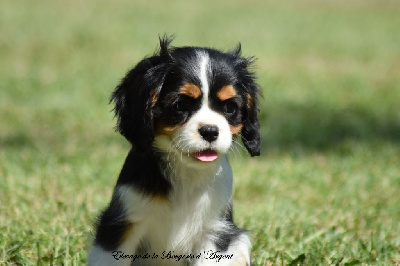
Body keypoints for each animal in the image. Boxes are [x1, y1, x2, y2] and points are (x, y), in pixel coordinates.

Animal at [89, 35, 260, 266]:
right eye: (180, 106)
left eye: (230, 108)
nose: (210, 131)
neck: (186, 172)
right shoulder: (122, 222)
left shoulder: (215, 232)